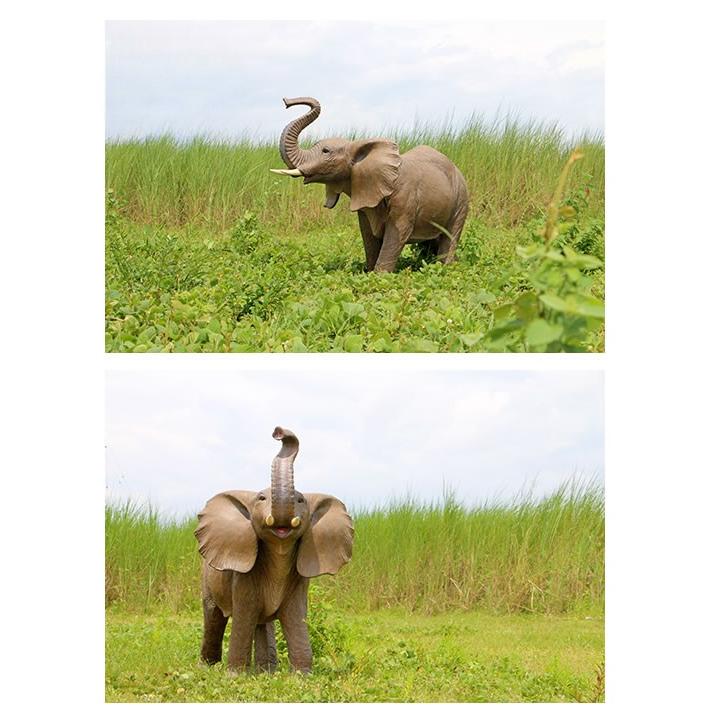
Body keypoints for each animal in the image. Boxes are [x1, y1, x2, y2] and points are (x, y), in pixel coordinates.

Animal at [194, 427, 353, 673]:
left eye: (301, 500)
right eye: (261, 499)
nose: (279, 433)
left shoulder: (299, 579)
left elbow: (296, 618)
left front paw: (302, 676)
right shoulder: (243, 577)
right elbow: (243, 617)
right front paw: (235, 676)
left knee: (263, 623)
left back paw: (265, 672)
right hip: (207, 578)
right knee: (214, 616)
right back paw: (207, 668)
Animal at [270, 96, 470, 272]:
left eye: (326, 151)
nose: (286, 102)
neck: (356, 146)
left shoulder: (405, 199)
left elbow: (397, 234)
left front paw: (379, 275)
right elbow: (367, 234)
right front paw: (368, 271)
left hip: (461, 200)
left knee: (450, 236)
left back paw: (446, 267)